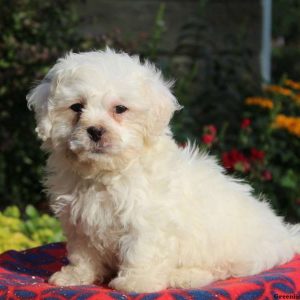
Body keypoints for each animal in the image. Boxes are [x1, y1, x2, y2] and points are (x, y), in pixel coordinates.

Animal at [27, 49, 298, 292]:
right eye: (76, 107)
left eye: (120, 109)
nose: (95, 130)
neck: (105, 173)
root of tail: (284, 234)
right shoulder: (80, 221)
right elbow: (83, 252)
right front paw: (76, 276)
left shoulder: (147, 220)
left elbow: (140, 251)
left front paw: (136, 283)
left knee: (224, 268)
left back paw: (185, 276)